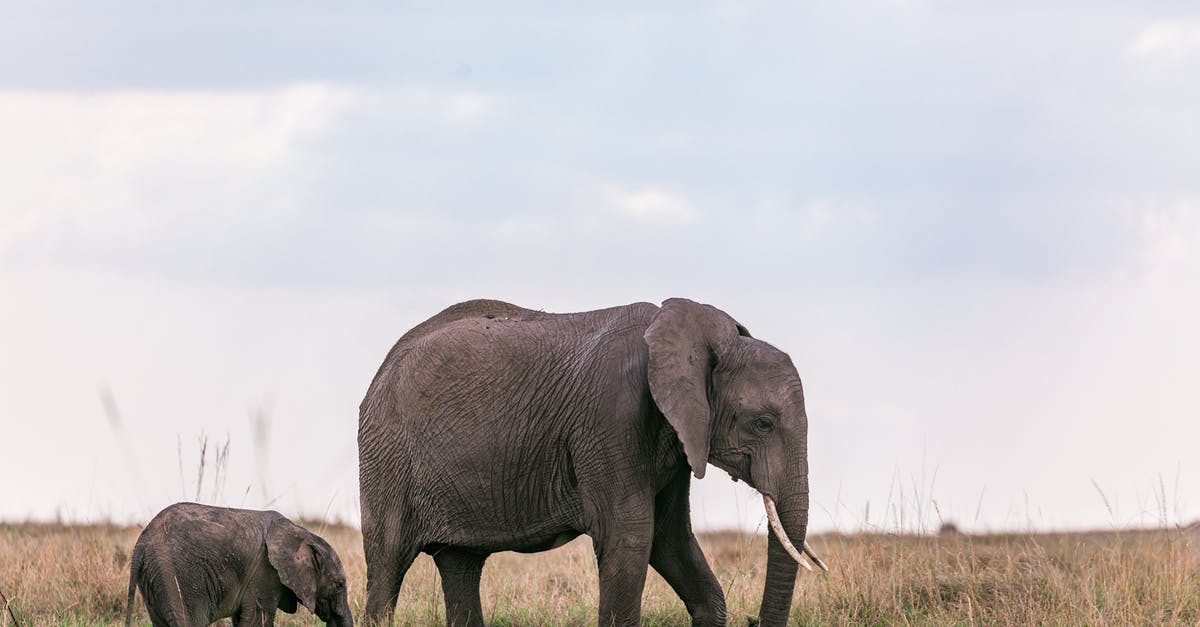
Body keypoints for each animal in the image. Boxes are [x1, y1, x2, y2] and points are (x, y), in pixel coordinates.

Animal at [124, 499, 352, 619]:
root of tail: (141, 542)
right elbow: (258, 618)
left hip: (154, 577)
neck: (299, 531)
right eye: (339, 585)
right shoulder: (263, 574)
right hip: (178, 576)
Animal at [355, 297, 825, 624]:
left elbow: (669, 539)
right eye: (764, 423)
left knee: (461, 564)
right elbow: (631, 536)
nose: (755, 620)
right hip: (386, 454)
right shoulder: (612, 418)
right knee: (387, 563)